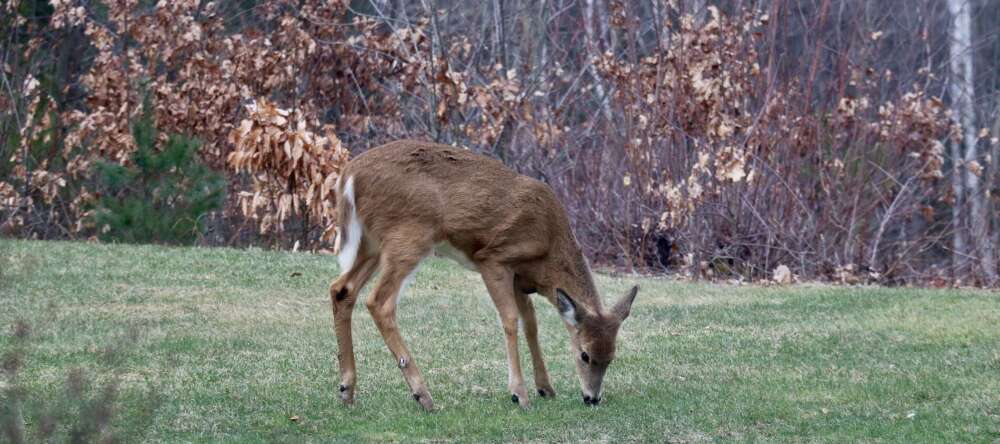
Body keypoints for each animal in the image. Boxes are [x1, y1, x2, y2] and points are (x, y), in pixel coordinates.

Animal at [328, 140, 639, 411]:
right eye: (584, 354)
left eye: (612, 356)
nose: (592, 398)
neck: (548, 247)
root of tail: (349, 175)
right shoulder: (494, 259)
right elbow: (511, 319)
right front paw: (519, 394)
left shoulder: (520, 278)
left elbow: (531, 323)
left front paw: (545, 388)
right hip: (409, 236)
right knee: (379, 302)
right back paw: (423, 395)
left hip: (372, 242)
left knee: (342, 289)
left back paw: (347, 390)